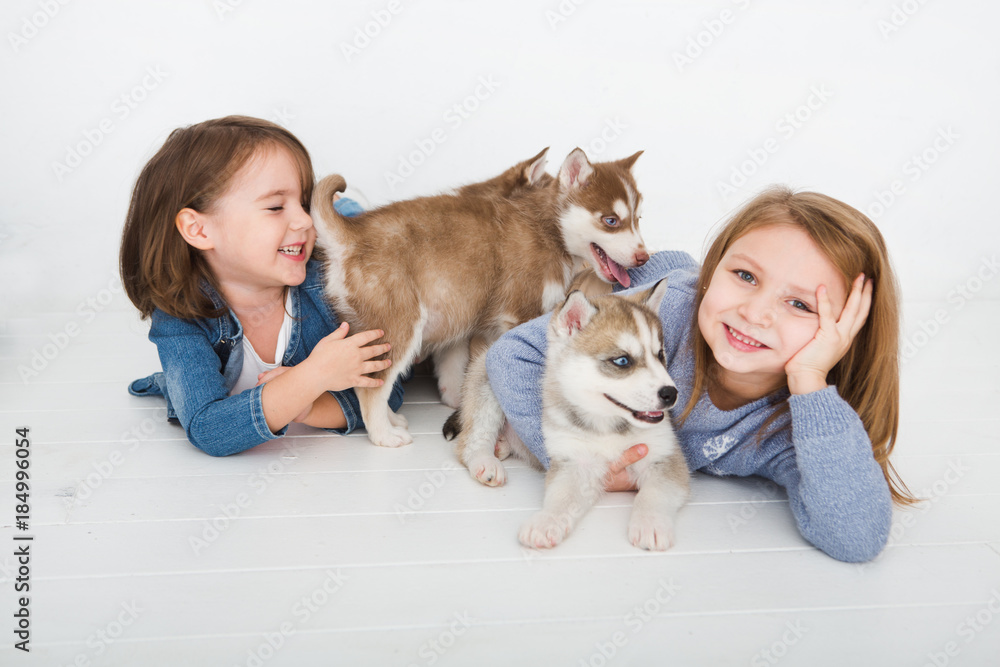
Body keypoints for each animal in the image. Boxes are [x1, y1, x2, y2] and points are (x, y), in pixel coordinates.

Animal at [316, 147, 652, 448]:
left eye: (638, 219)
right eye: (611, 220)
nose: (643, 257)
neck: (549, 228)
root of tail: (351, 234)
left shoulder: (462, 321)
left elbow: (460, 371)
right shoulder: (518, 314)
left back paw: (391, 419)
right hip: (401, 325)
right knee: (370, 387)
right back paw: (385, 436)